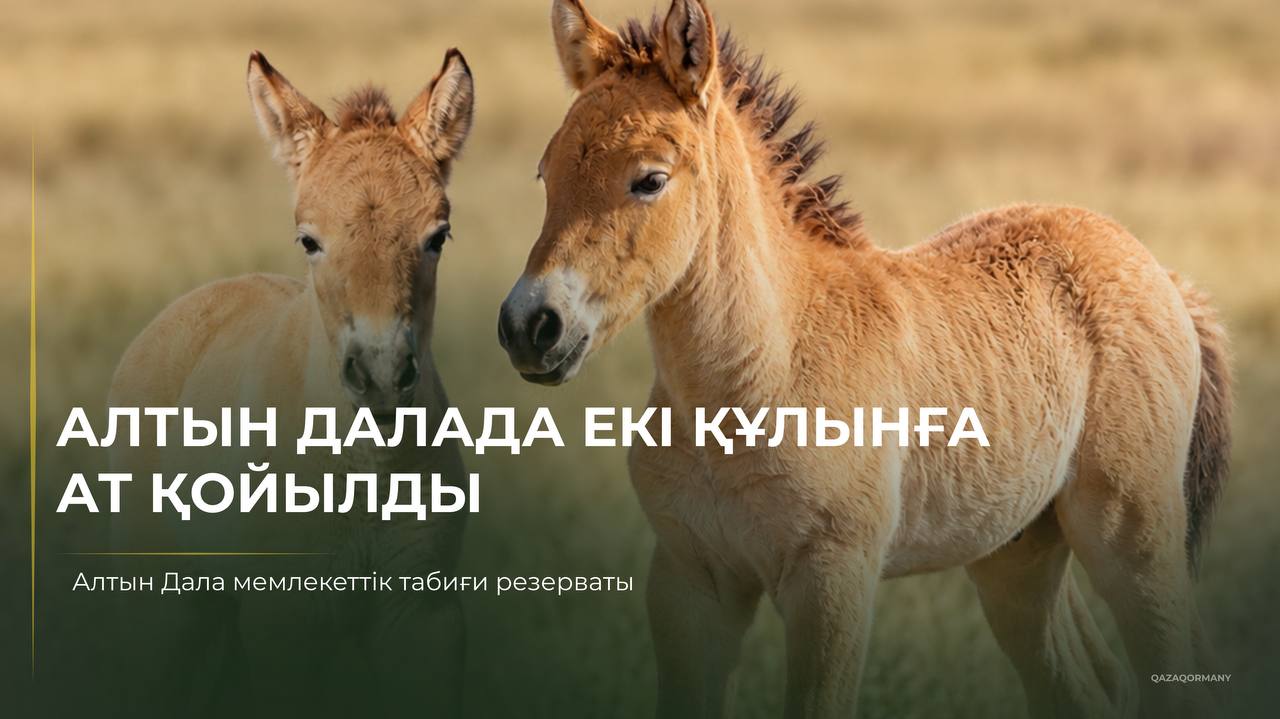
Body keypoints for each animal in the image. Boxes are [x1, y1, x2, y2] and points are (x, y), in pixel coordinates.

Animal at [106, 49, 474, 715]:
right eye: (309, 240)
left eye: (438, 236)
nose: (382, 375)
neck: (365, 475)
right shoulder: (285, 621)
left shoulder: (424, 615)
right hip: (159, 605)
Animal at [498, 1, 1232, 717]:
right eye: (546, 172)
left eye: (649, 180)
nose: (530, 326)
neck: (755, 382)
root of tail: (1161, 274)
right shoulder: (690, 581)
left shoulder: (832, 579)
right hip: (1017, 554)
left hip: (1132, 538)